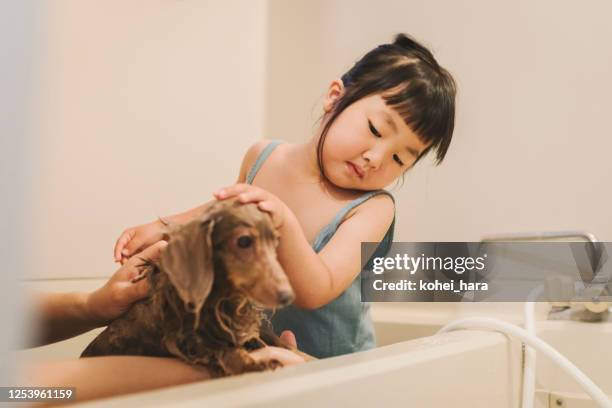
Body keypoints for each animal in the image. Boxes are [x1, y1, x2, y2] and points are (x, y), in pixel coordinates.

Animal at [81, 199, 296, 378]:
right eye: (244, 241)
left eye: (276, 242)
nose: (287, 296)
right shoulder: (185, 336)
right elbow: (222, 349)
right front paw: (253, 364)